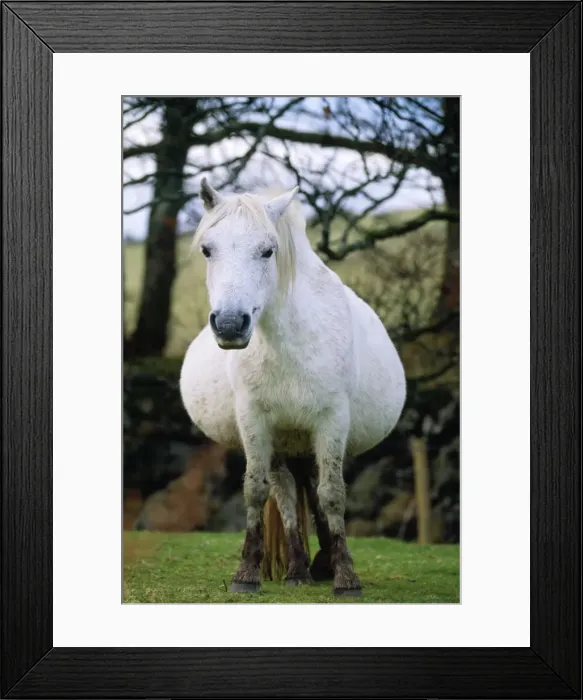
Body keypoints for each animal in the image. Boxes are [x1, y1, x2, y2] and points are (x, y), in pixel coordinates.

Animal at [179, 178, 406, 597]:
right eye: (207, 249)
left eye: (268, 250)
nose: (231, 325)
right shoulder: (254, 421)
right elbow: (256, 490)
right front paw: (246, 574)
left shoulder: (332, 421)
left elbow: (332, 494)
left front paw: (346, 578)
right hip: (284, 441)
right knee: (285, 490)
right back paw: (299, 569)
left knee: (312, 487)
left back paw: (324, 563)